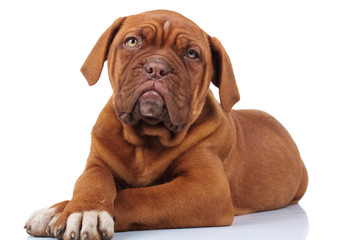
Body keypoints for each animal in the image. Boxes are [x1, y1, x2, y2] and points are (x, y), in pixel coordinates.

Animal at [24, 9, 306, 240]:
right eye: (132, 41)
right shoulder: (97, 163)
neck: (147, 136)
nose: (157, 67)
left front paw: (86, 214)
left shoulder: (206, 188)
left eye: (191, 54)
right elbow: (90, 181)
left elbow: (139, 197)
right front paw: (72, 210)